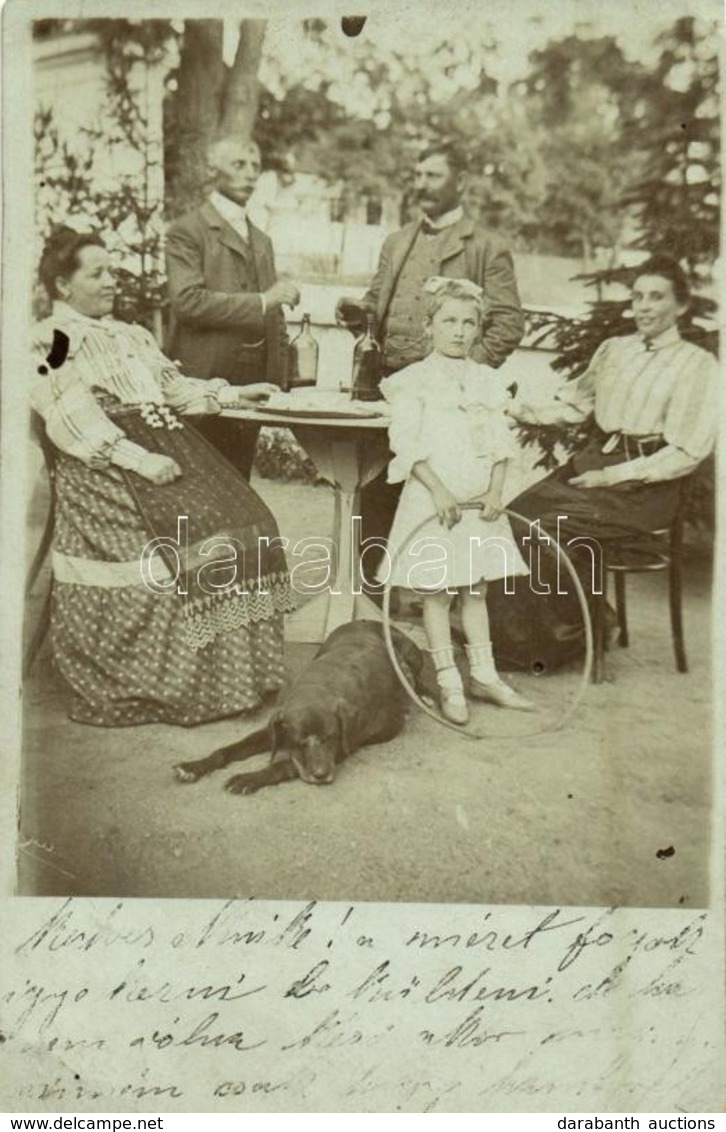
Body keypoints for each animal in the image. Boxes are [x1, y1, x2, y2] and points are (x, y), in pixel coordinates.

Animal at [174, 620, 425, 796]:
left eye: (331, 738)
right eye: (299, 742)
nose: (321, 775)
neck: (317, 687)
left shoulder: (343, 746)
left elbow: (283, 765)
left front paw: (249, 778)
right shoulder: (273, 729)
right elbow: (229, 749)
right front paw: (194, 766)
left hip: (413, 656)